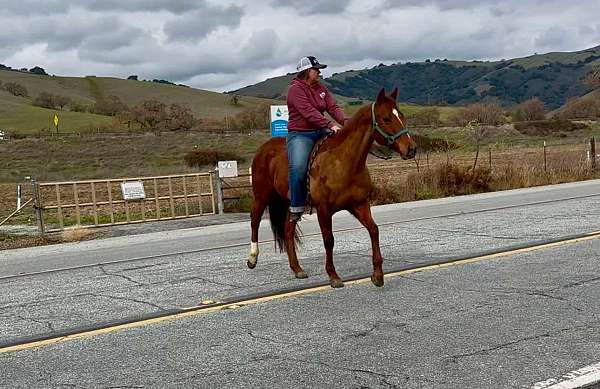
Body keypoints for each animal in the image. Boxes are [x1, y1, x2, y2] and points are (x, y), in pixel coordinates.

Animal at [246, 88, 414, 288]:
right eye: (386, 118)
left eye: (401, 115)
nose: (411, 149)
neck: (343, 163)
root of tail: (263, 148)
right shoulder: (324, 210)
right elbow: (329, 240)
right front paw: (333, 276)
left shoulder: (359, 204)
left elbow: (374, 230)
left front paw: (378, 274)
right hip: (261, 196)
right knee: (255, 221)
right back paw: (252, 258)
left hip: (290, 203)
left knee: (287, 231)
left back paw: (297, 269)